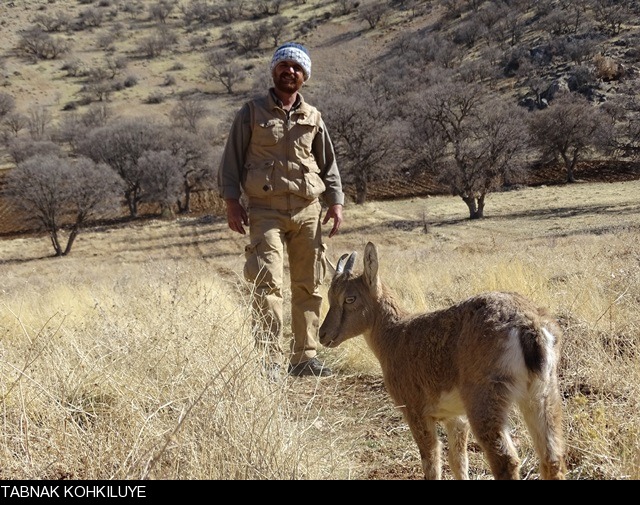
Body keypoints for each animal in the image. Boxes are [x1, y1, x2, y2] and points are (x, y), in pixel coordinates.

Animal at [318, 242, 564, 478]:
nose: (323, 334)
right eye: (329, 296)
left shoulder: (416, 410)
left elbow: (432, 461)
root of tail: (529, 327)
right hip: (543, 393)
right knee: (552, 458)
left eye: (350, 298)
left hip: (486, 398)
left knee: (506, 461)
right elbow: (458, 462)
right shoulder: (455, 417)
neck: (395, 336)